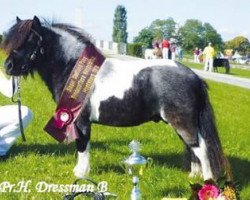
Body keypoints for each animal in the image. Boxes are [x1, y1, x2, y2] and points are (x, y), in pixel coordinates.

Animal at [1, 16, 231, 180]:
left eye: (30, 40)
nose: (8, 67)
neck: (72, 67)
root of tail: (195, 77)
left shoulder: (80, 120)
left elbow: (82, 146)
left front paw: (81, 174)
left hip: (183, 123)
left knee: (201, 148)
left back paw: (207, 182)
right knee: (193, 148)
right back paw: (194, 176)